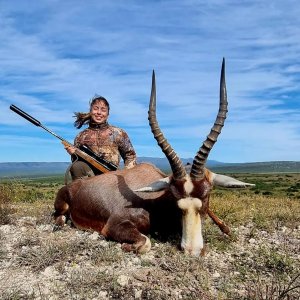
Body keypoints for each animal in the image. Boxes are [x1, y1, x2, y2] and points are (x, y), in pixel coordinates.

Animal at [53, 59, 253, 256]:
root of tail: (72, 186)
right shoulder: (113, 225)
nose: (192, 250)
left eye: (206, 195)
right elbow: (146, 242)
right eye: (175, 199)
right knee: (59, 218)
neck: (154, 201)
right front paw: (126, 246)